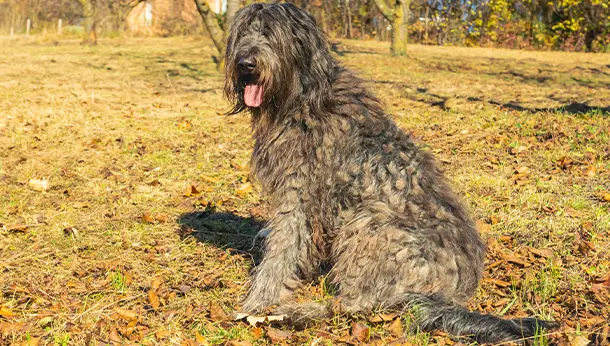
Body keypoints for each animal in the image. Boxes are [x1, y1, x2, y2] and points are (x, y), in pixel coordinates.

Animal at [222, 2, 552, 344]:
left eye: (271, 33)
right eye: (243, 31)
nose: (246, 63)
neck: (302, 99)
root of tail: (452, 293)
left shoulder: (299, 196)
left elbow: (281, 251)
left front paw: (259, 302)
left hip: (370, 224)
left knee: (357, 303)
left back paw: (297, 313)